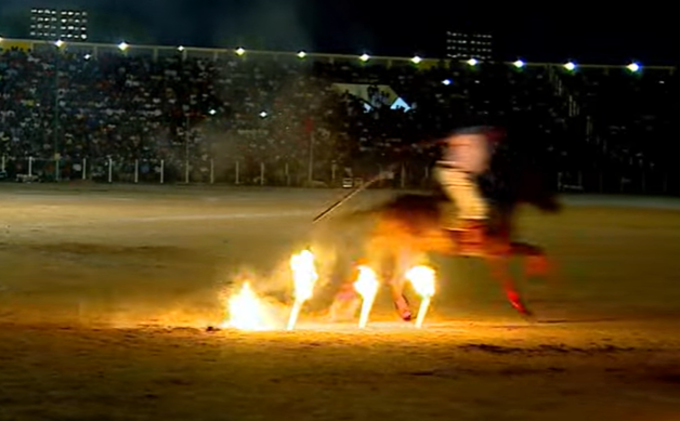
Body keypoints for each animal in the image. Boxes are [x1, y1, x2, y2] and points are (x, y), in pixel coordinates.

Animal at [326, 141, 560, 322]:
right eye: (541, 181)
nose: (555, 207)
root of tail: (389, 205)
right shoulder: (495, 251)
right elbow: (512, 275)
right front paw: (524, 307)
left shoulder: (501, 248)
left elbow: (535, 249)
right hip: (400, 246)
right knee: (391, 278)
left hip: (397, 247)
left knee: (383, 275)